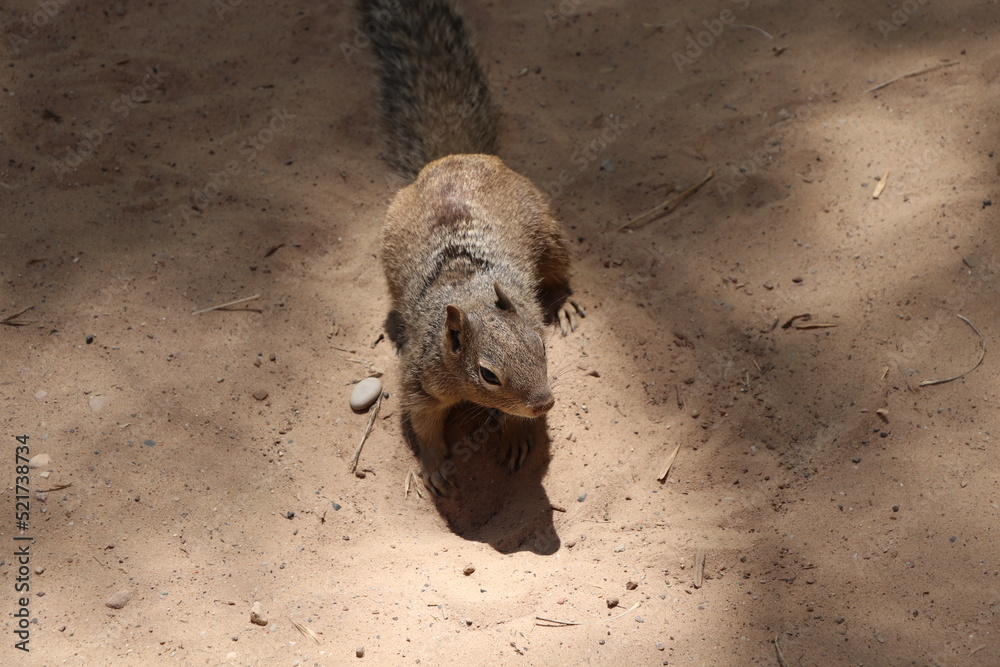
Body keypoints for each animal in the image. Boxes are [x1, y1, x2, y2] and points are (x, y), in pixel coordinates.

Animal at [356, 0, 584, 495]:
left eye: (540, 346)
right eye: (488, 375)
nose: (545, 403)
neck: (470, 295)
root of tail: (450, 158)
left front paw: (517, 437)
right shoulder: (420, 379)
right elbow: (422, 423)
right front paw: (436, 467)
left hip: (547, 229)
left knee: (559, 270)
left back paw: (565, 303)